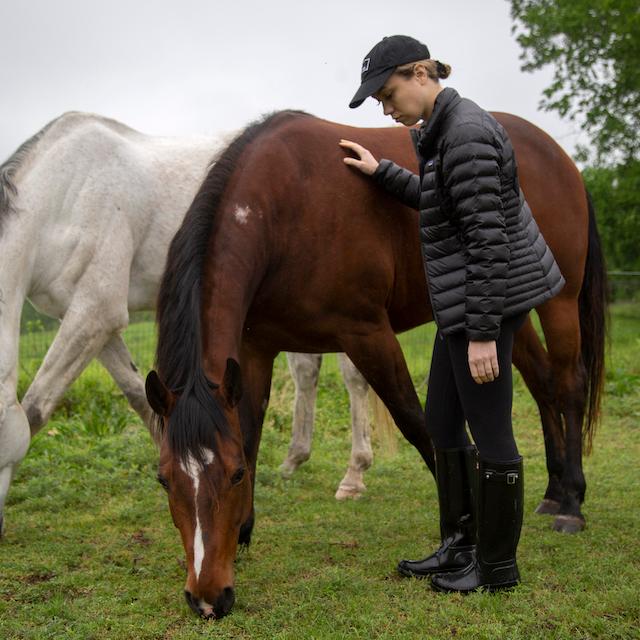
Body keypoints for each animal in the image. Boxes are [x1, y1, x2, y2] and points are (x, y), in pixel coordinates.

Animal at [148, 111, 608, 620]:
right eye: (164, 479)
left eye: (232, 476)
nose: (207, 598)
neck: (283, 206)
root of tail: (560, 157)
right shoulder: (253, 351)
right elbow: (248, 432)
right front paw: (244, 532)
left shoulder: (367, 334)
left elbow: (420, 428)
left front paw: (463, 546)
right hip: (505, 317)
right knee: (543, 384)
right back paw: (552, 492)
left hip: (559, 303)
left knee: (568, 386)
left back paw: (571, 503)